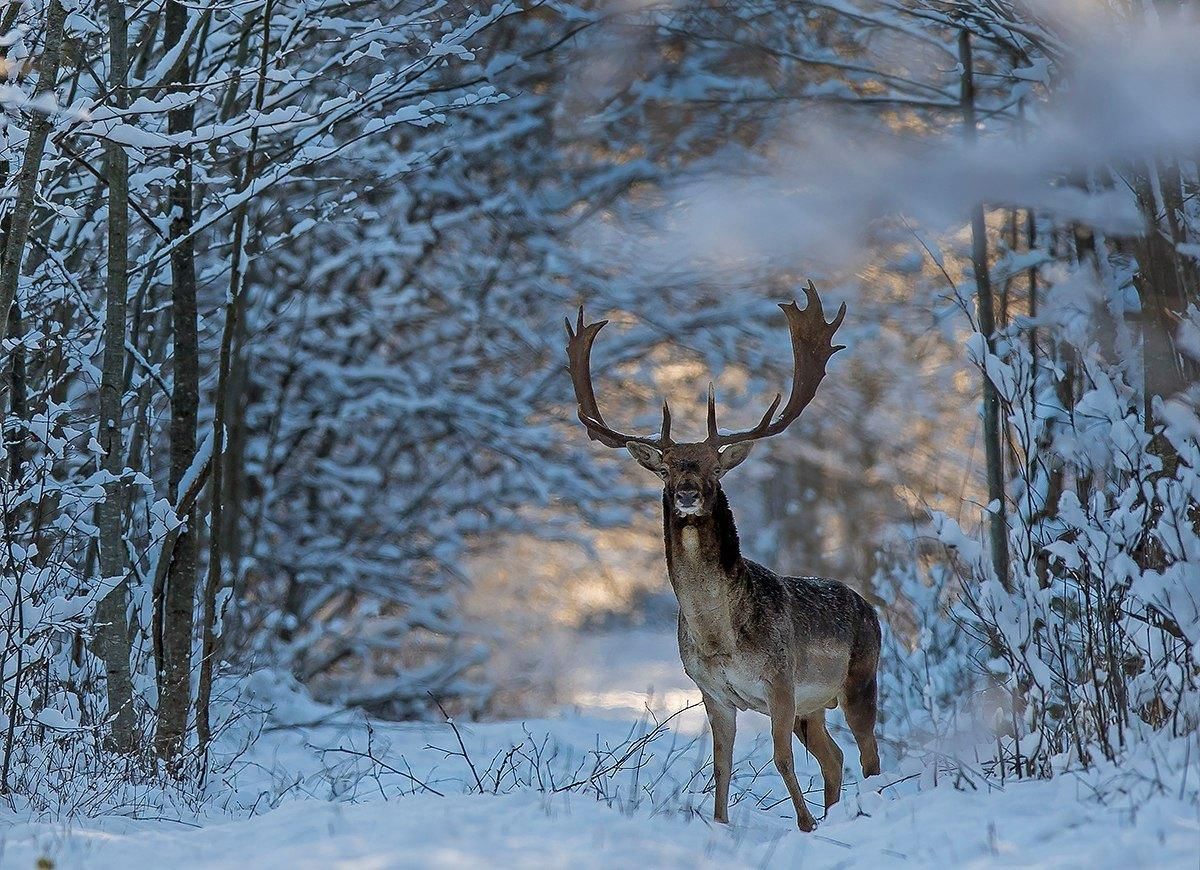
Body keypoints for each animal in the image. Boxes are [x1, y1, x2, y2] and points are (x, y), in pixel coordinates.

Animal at [561, 285, 883, 830]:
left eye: (714, 466)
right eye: (666, 468)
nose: (688, 492)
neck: (719, 638)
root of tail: (872, 609)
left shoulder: (779, 680)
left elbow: (779, 759)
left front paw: (804, 827)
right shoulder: (712, 691)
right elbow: (721, 765)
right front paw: (721, 825)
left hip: (862, 677)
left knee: (869, 754)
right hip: (812, 707)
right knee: (835, 756)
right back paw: (836, 812)